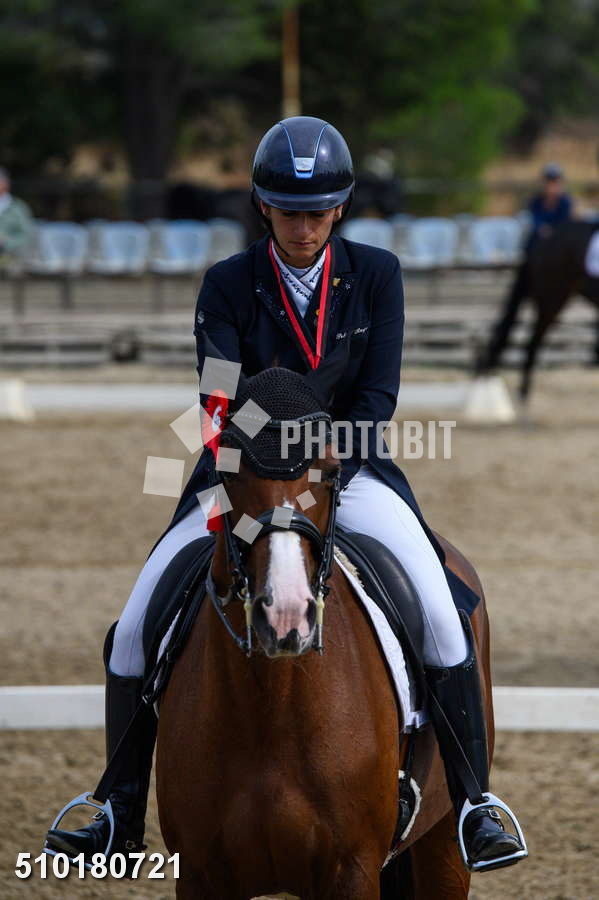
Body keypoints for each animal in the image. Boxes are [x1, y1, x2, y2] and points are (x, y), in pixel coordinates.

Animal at [154, 369, 494, 900]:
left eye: (331, 470)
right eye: (226, 472)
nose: (286, 615)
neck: (270, 703)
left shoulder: (352, 869)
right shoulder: (199, 874)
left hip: (442, 841)